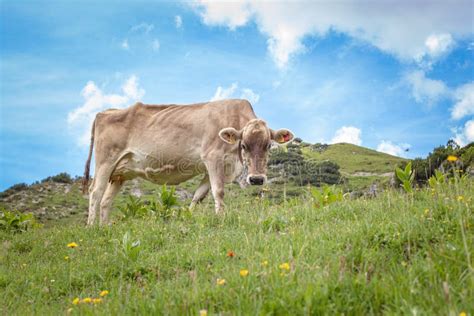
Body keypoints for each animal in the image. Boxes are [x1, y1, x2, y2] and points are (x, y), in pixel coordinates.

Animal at [84, 99, 292, 225]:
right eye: (244, 145)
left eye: (268, 145)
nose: (256, 179)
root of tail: (105, 112)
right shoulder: (212, 157)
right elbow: (219, 191)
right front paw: (221, 218)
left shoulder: (214, 167)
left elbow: (198, 196)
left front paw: (188, 216)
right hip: (105, 161)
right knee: (95, 192)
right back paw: (92, 227)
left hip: (120, 173)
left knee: (106, 200)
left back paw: (105, 228)